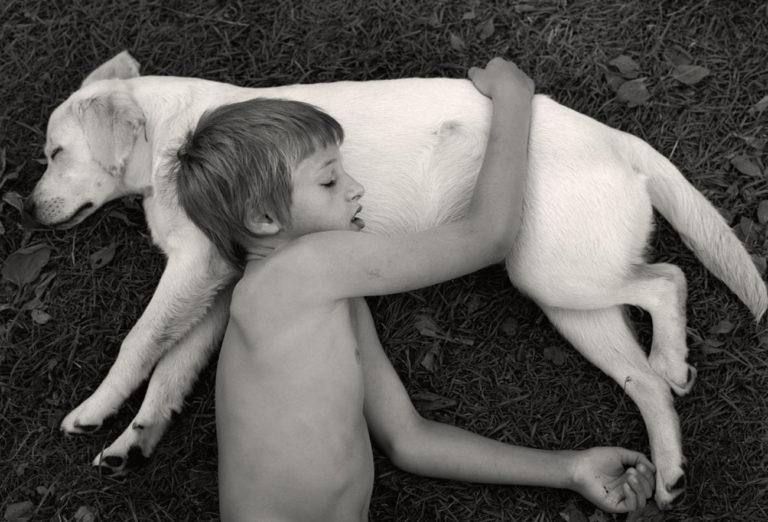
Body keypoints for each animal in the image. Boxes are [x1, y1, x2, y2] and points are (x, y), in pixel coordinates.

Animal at [27, 50, 764, 506]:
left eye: (56, 154)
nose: (29, 210)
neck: (172, 136)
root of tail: (615, 137)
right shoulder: (216, 290)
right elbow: (173, 369)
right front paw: (135, 437)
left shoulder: (191, 269)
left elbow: (139, 344)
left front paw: (94, 410)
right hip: (570, 300)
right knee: (646, 377)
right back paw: (668, 462)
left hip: (553, 275)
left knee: (666, 279)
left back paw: (672, 357)